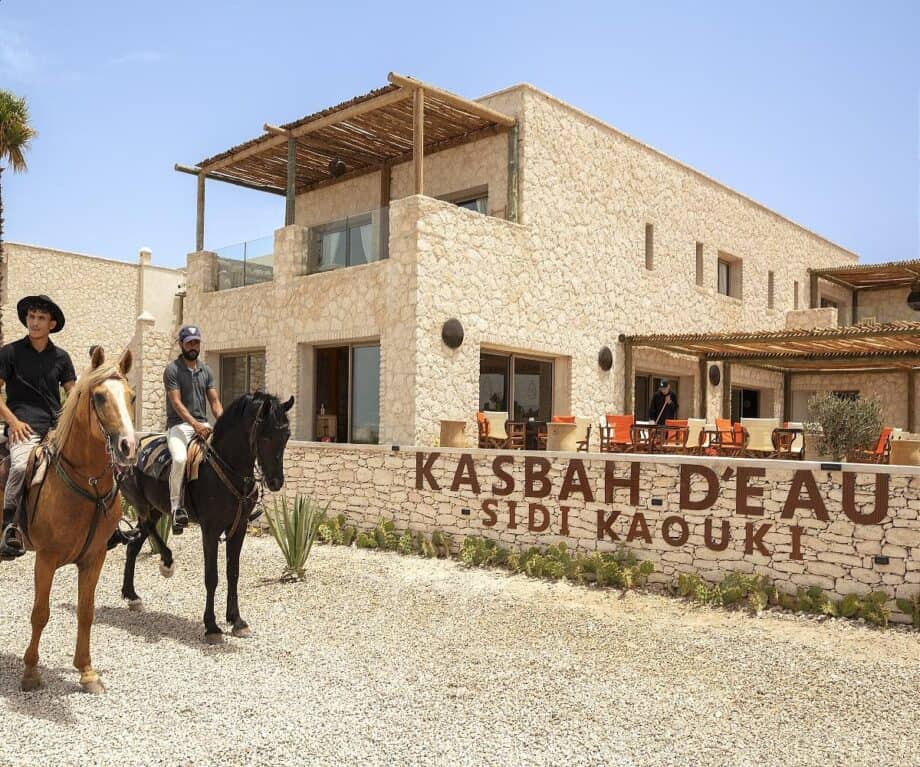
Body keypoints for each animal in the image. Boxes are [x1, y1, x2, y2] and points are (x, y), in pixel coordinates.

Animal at [4, 347, 137, 694]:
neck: (86, 485)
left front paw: (87, 672)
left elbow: (85, 613)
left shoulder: (94, 558)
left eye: (131, 396)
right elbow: (40, 613)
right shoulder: (46, 559)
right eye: (100, 397)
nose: (129, 447)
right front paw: (31, 673)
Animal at [117, 391, 293, 643]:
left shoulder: (239, 528)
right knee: (145, 532)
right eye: (266, 436)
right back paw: (166, 562)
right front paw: (211, 626)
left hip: (155, 509)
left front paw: (236, 620)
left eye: (286, 435)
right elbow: (212, 576)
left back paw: (132, 596)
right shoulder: (210, 530)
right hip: (142, 505)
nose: (276, 482)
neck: (228, 468)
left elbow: (233, 573)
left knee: (135, 543)